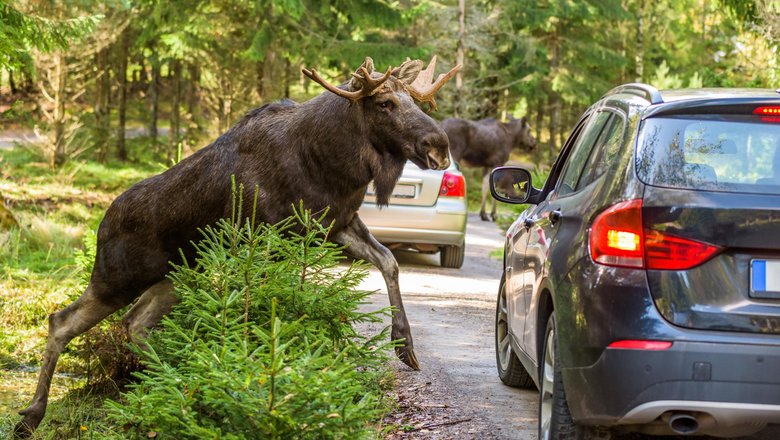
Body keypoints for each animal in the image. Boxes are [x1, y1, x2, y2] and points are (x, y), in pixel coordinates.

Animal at [15, 55, 460, 436]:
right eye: (385, 102)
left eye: (417, 101)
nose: (439, 145)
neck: (332, 163)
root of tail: (101, 225)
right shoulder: (268, 237)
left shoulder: (337, 224)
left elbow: (388, 262)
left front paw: (404, 344)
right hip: (117, 278)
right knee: (61, 322)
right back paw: (32, 417)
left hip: (173, 278)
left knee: (135, 323)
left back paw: (180, 374)